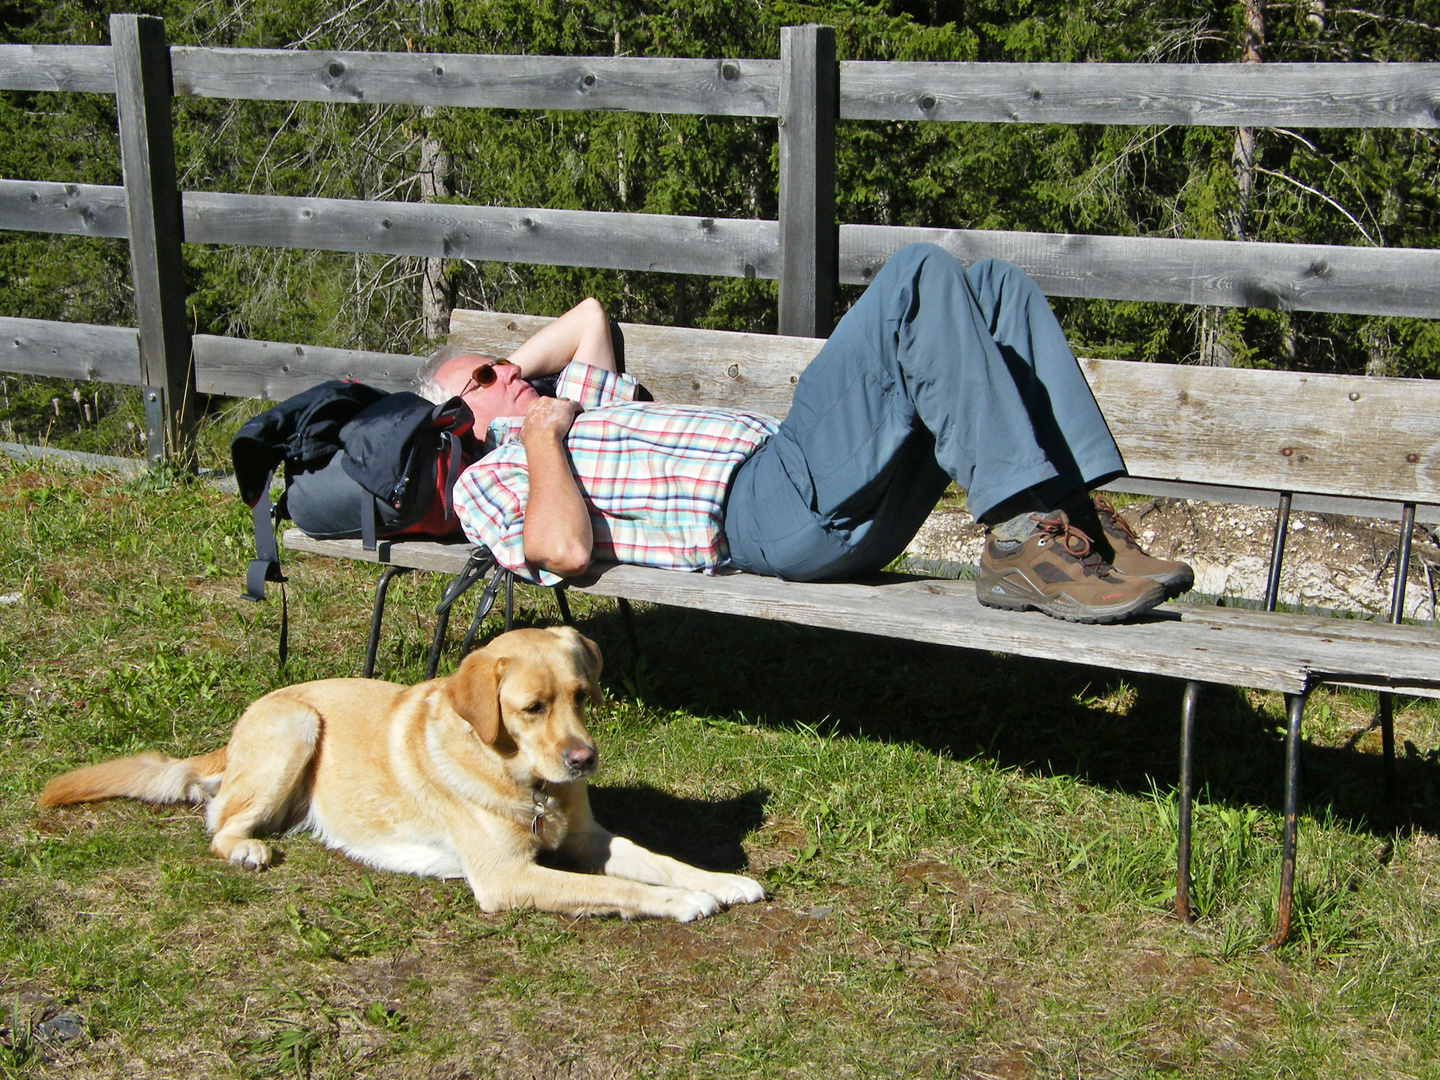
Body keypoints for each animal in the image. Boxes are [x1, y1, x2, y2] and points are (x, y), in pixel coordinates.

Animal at [39, 630, 766, 927]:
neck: (522, 779)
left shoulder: (592, 839)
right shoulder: (507, 879)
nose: (585, 760)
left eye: (582, 696)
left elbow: (657, 859)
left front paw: (718, 880)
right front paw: (682, 902)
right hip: (297, 726)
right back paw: (246, 847)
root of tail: (237, 729)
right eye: (532, 708)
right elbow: (620, 890)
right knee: (217, 823)